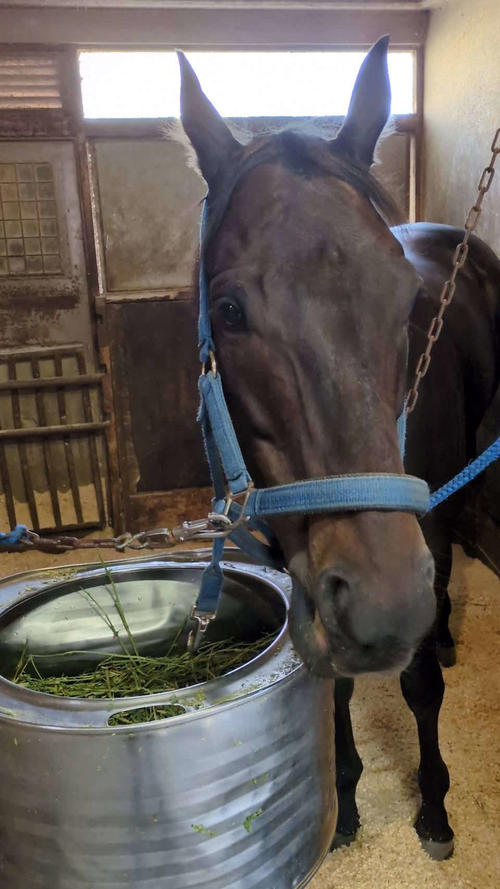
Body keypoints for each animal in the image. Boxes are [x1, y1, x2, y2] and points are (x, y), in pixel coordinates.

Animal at [177, 37, 500, 861]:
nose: (388, 604)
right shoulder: (302, 568)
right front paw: (346, 801)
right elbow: (333, 681)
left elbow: (419, 687)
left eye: (410, 300)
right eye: (228, 308)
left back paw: (440, 632)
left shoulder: (421, 529)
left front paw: (435, 808)